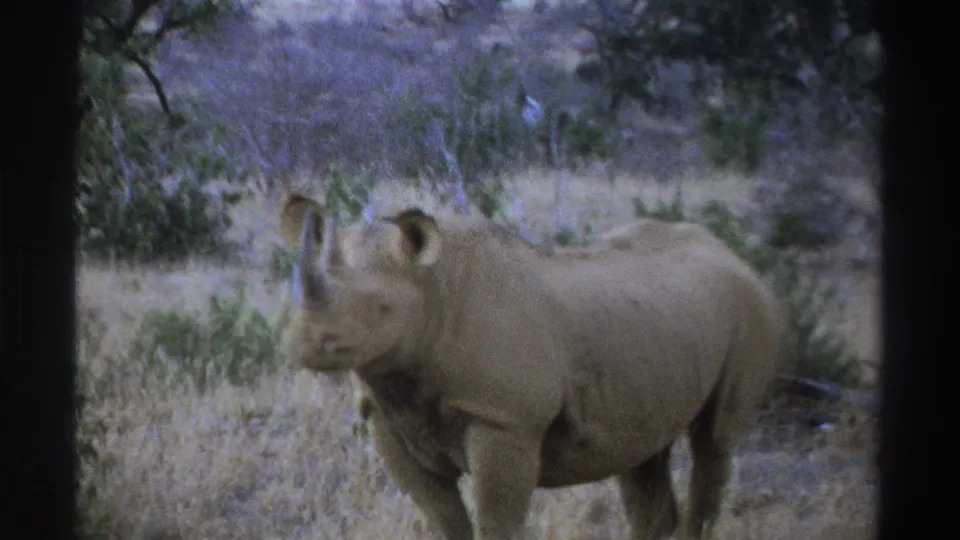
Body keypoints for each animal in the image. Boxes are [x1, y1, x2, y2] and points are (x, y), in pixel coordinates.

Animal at [278, 192, 785, 540]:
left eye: (381, 309)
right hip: (660, 331)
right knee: (644, 452)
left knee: (714, 441)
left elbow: (496, 522)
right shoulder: (388, 415)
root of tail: (734, 254)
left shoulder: (506, 420)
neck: (431, 285)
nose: (304, 345)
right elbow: (444, 519)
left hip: (751, 307)